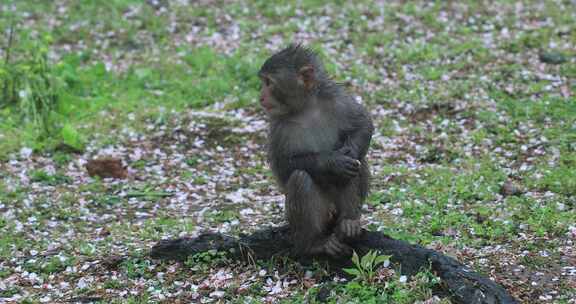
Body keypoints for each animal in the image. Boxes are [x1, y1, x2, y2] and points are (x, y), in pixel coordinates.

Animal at [258, 44, 374, 258]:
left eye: (268, 82)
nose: (261, 96)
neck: (306, 107)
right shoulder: (278, 126)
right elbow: (283, 166)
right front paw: (333, 163)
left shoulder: (336, 98)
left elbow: (363, 124)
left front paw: (346, 158)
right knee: (300, 178)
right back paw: (313, 244)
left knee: (357, 161)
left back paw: (349, 221)